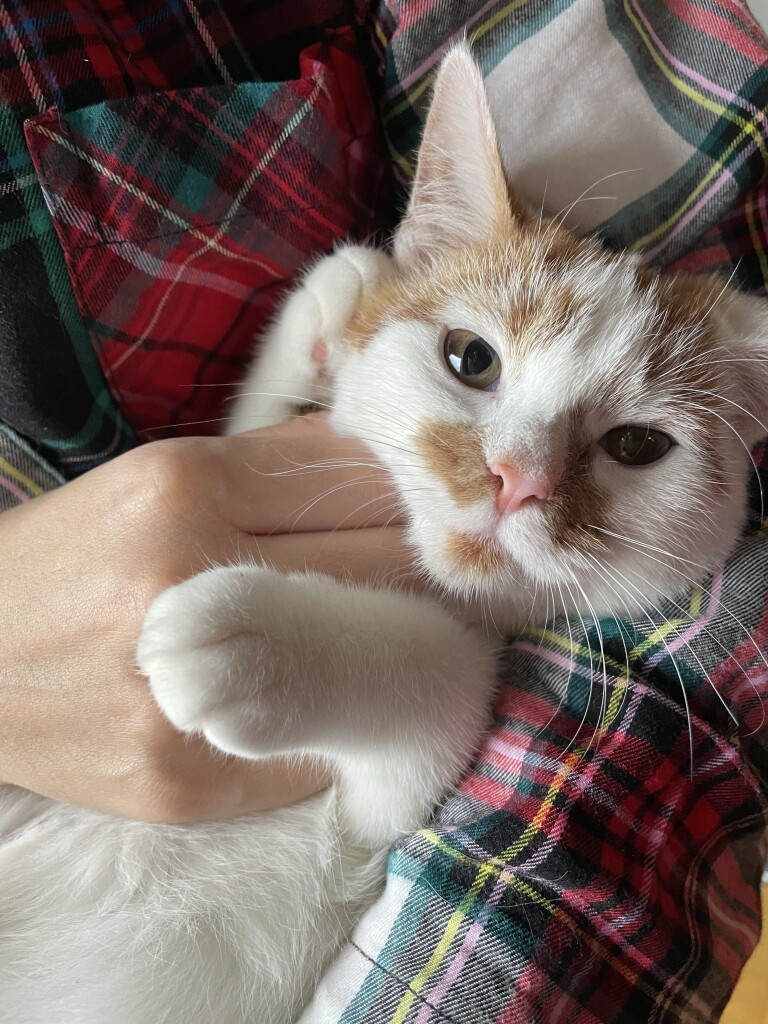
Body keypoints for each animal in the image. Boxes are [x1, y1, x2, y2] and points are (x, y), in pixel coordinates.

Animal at [1, 44, 768, 1024]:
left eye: (637, 446)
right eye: (470, 358)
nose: (515, 479)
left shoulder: (361, 834)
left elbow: (445, 677)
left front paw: (253, 634)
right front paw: (336, 309)